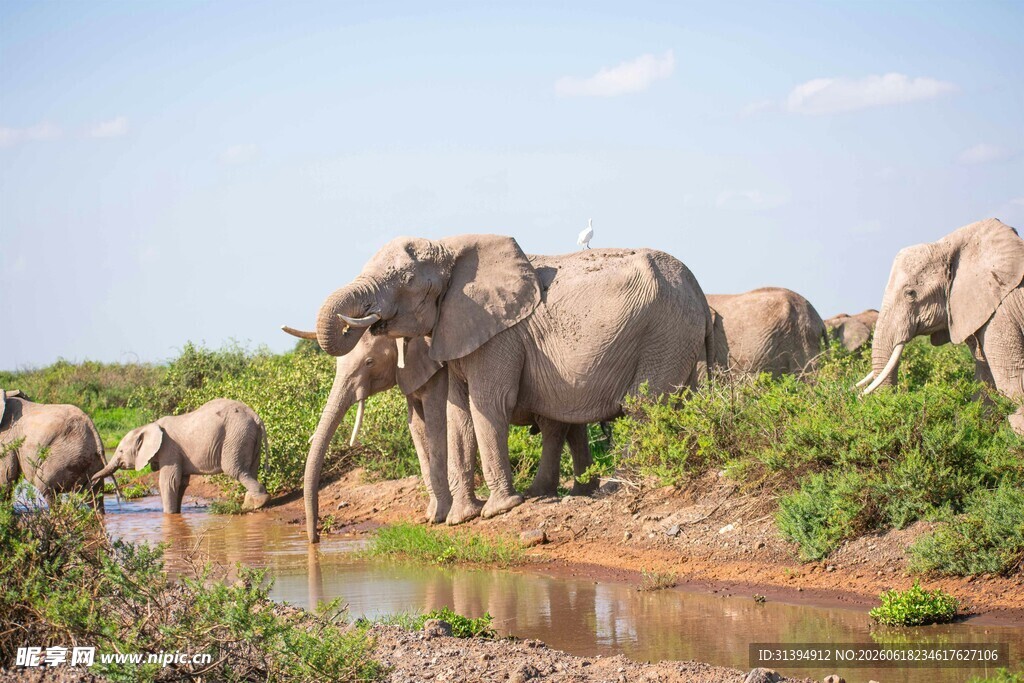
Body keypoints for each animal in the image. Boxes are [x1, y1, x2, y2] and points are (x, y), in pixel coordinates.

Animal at [91, 398, 271, 513]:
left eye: (121, 451)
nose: (91, 481)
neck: (149, 426)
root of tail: (256, 416)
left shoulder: (169, 449)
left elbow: (168, 481)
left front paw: (168, 515)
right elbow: (181, 482)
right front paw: (176, 512)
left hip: (236, 436)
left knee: (234, 469)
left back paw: (257, 503)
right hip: (247, 436)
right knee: (251, 468)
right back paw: (250, 504)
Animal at [279, 326, 595, 542]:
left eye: (369, 363)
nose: (315, 539)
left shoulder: (438, 372)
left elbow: (436, 422)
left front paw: (442, 516)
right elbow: (416, 427)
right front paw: (432, 516)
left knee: (555, 426)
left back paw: (546, 493)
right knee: (573, 425)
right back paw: (583, 491)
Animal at [309, 235, 713, 525]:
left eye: (407, 280)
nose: (316, 536)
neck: (451, 247)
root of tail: (699, 289)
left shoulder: (499, 336)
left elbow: (487, 405)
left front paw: (498, 510)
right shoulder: (459, 331)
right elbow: (459, 416)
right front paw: (461, 519)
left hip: (665, 331)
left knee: (642, 406)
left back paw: (613, 489)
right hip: (679, 337)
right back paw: (557, 493)